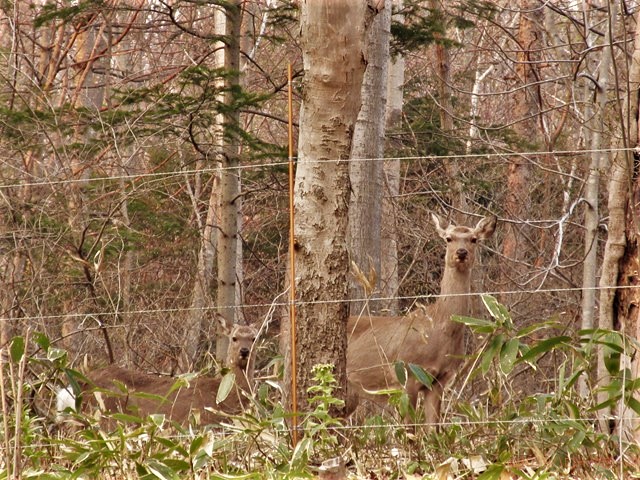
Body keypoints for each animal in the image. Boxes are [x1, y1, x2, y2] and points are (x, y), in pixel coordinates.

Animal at [56, 320, 258, 426]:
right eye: (234, 338)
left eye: (254, 338)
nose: (245, 351)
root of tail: (80, 385)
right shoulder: (199, 423)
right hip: (108, 416)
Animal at [348, 214, 498, 428]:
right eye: (448, 238)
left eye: (474, 239)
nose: (461, 253)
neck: (439, 327)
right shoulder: (406, 373)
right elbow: (410, 430)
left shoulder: (439, 380)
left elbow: (433, 429)